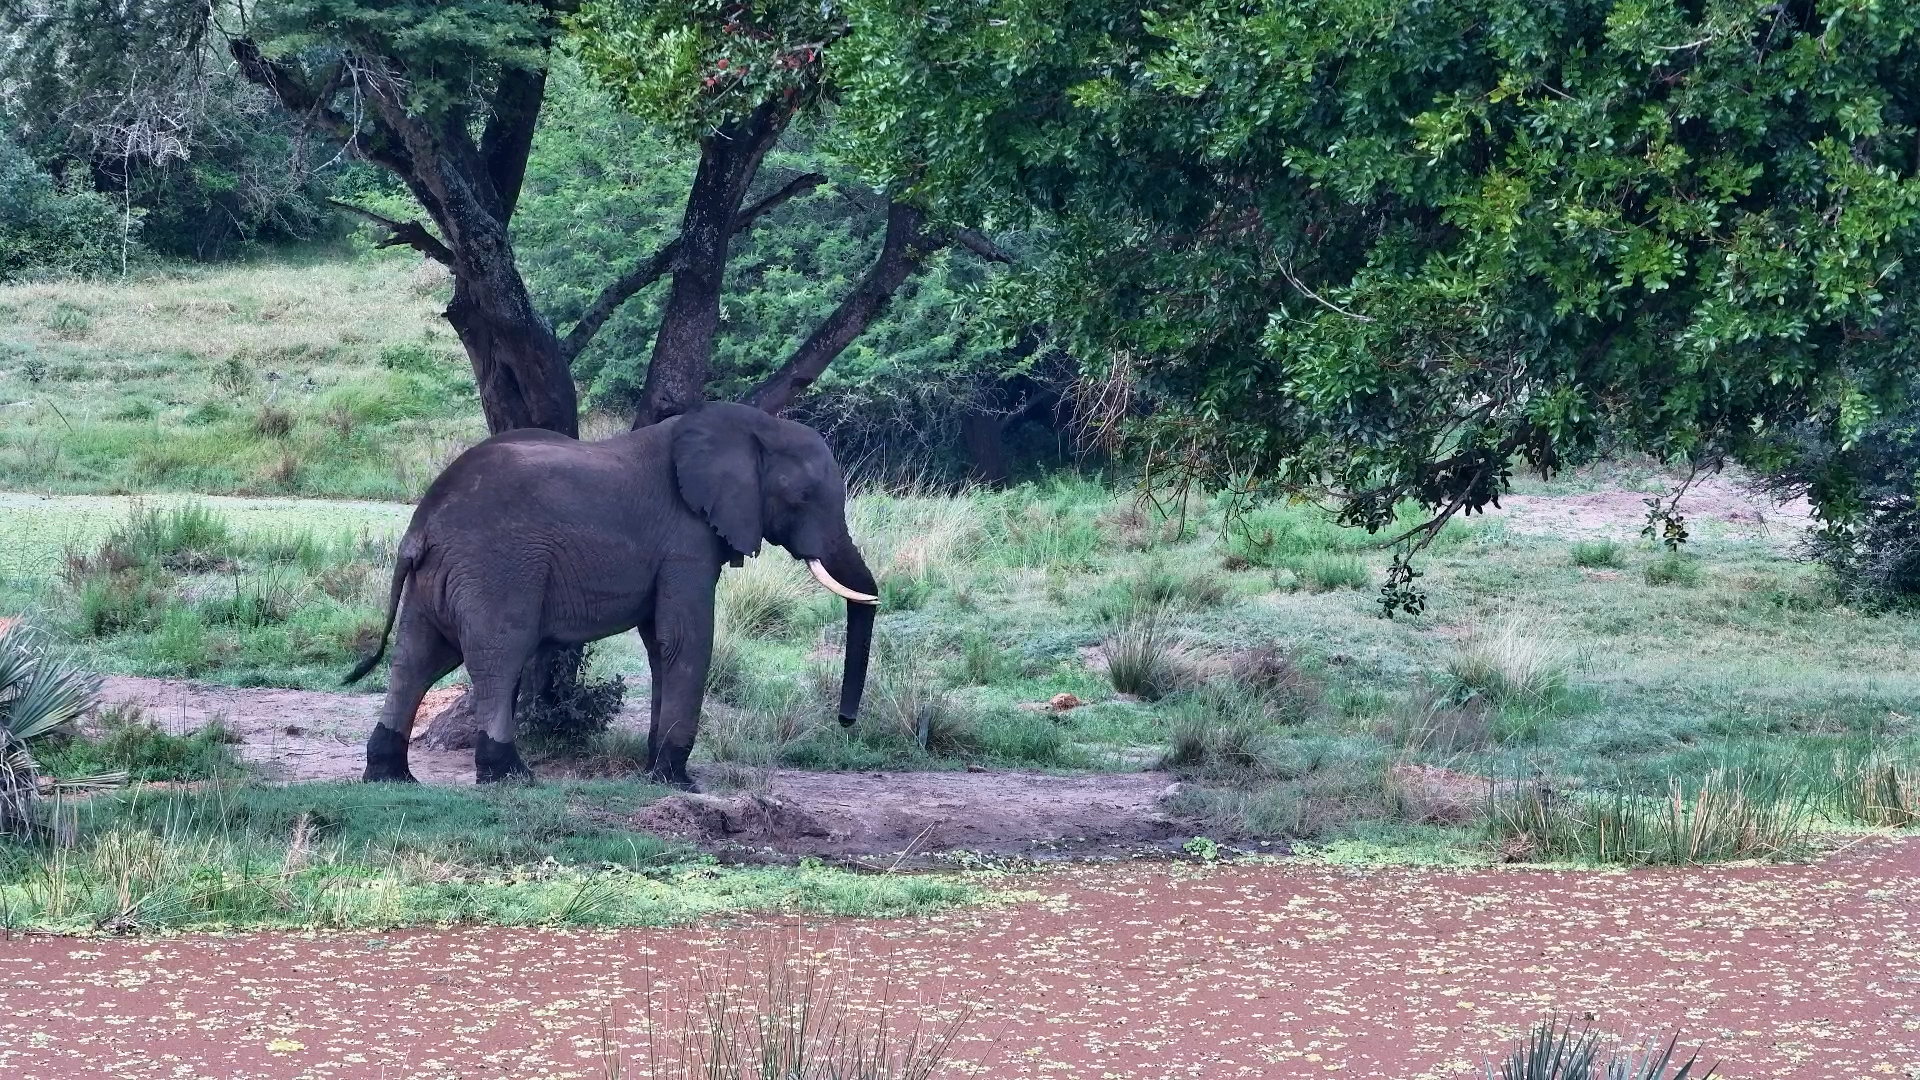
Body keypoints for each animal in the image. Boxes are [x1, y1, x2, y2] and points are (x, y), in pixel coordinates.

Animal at [344, 401, 880, 788]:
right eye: (802, 497)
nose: (846, 721)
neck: (753, 426)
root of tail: (422, 524)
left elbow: (660, 644)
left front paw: (654, 770)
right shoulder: (686, 541)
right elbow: (685, 640)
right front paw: (677, 782)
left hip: (439, 577)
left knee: (416, 657)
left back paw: (391, 778)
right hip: (495, 567)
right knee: (499, 655)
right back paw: (511, 777)